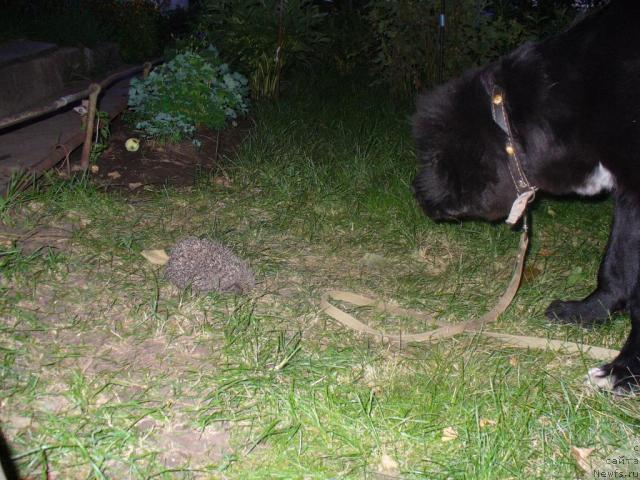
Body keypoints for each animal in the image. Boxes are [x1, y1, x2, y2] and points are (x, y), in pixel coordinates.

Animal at [410, 0, 640, 394]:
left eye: (434, 156)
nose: (415, 191)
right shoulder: (627, 194)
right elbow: (616, 264)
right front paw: (589, 312)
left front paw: (624, 370)